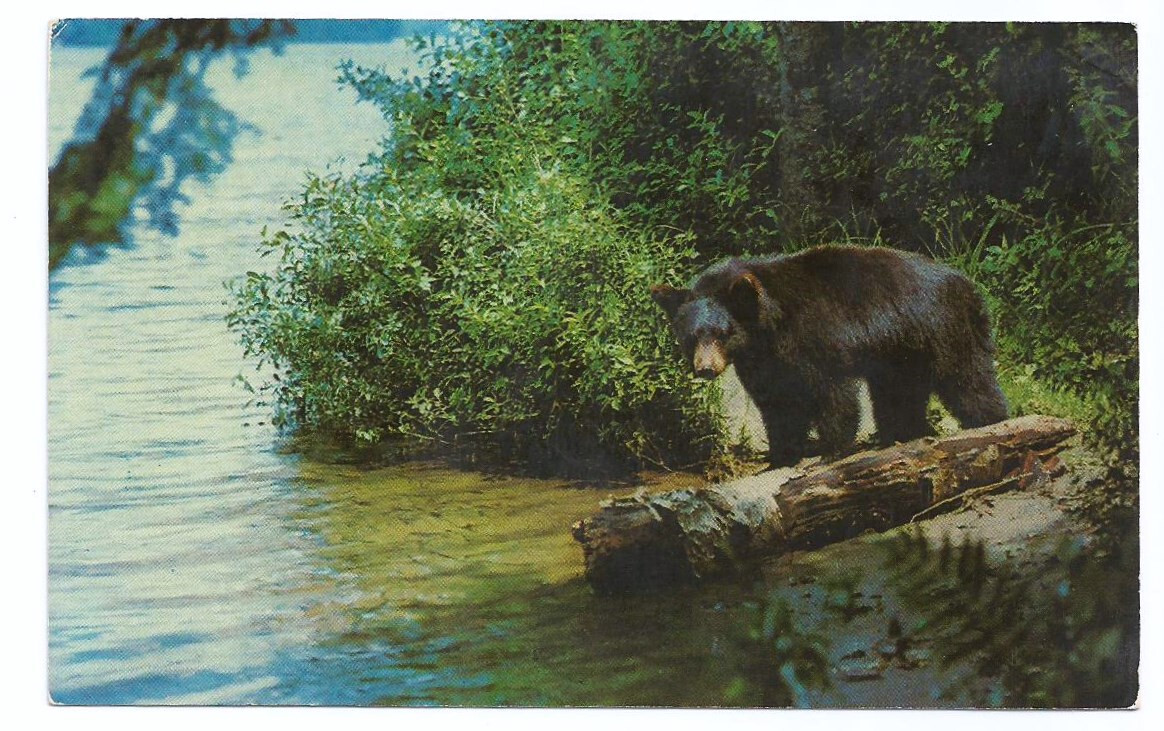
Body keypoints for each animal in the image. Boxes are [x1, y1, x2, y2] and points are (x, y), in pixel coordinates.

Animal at [651, 244, 1009, 467]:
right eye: (691, 336)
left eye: (721, 333)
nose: (705, 368)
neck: (768, 326)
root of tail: (968, 284)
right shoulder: (764, 361)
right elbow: (778, 403)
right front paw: (781, 454)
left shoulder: (815, 335)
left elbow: (831, 392)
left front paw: (831, 450)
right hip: (902, 352)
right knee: (898, 393)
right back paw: (902, 434)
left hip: (941, 329)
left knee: (966, 377)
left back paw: (990, 419)